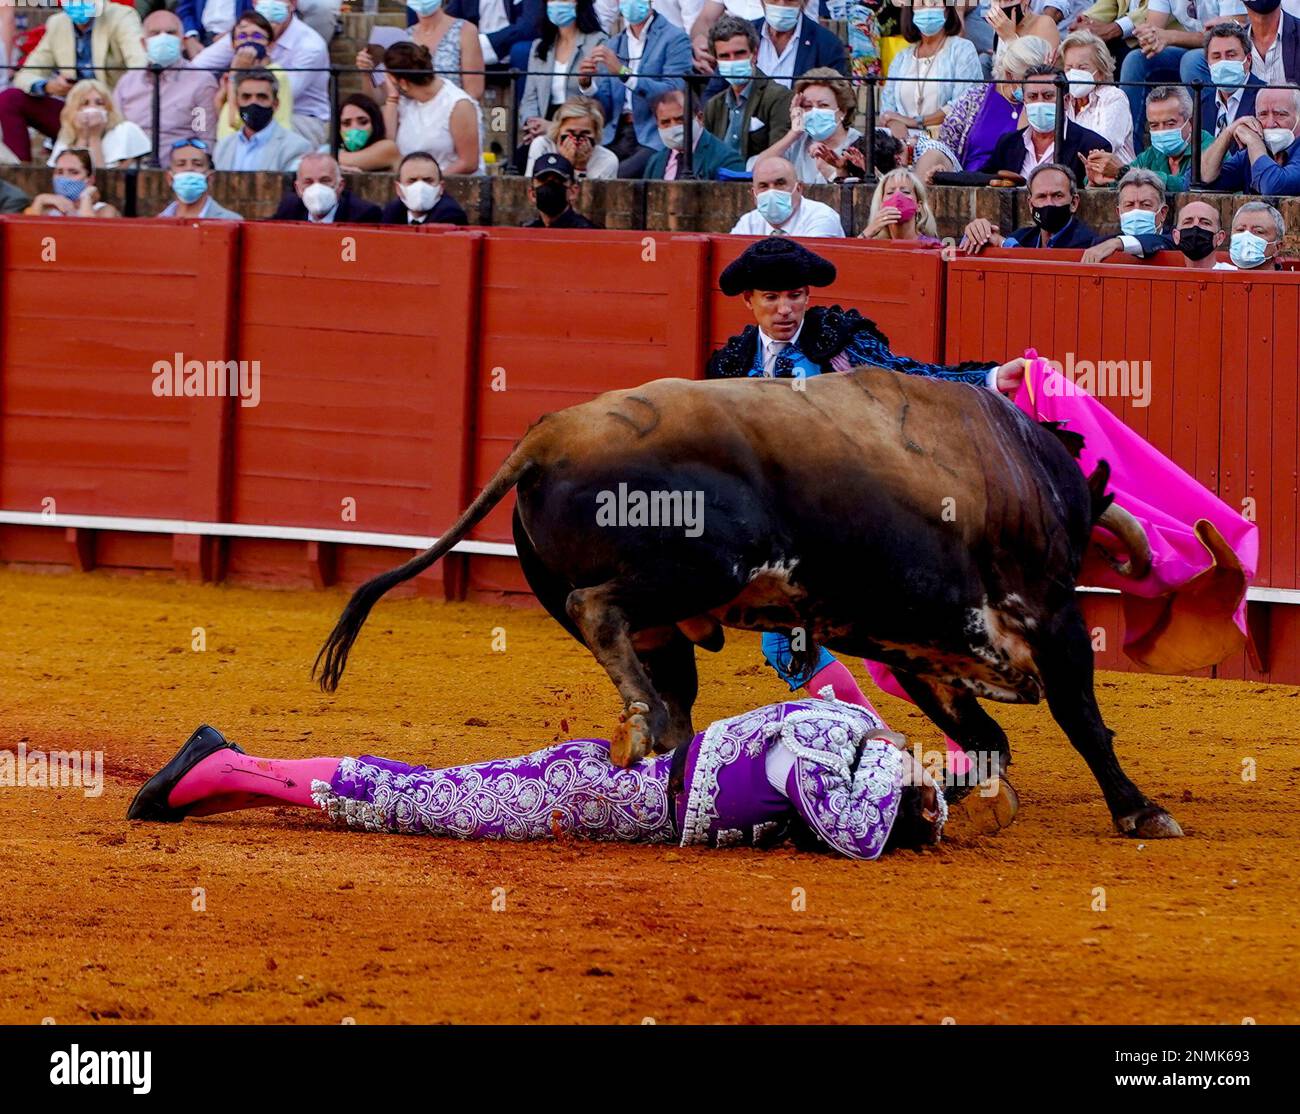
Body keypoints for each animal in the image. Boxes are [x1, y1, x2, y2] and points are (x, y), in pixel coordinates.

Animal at [314, 366, 1181, 840]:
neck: (1034, 480)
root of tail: (546, 439)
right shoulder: (1047, 617)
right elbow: (1081, 720)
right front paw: (1141, 812)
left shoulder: (919, 647)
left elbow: (990, 737)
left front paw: (963, 797)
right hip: (703, 567)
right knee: (602, 611)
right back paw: (639, 730)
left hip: (667, 622)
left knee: (660, 684)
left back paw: (657, 754)